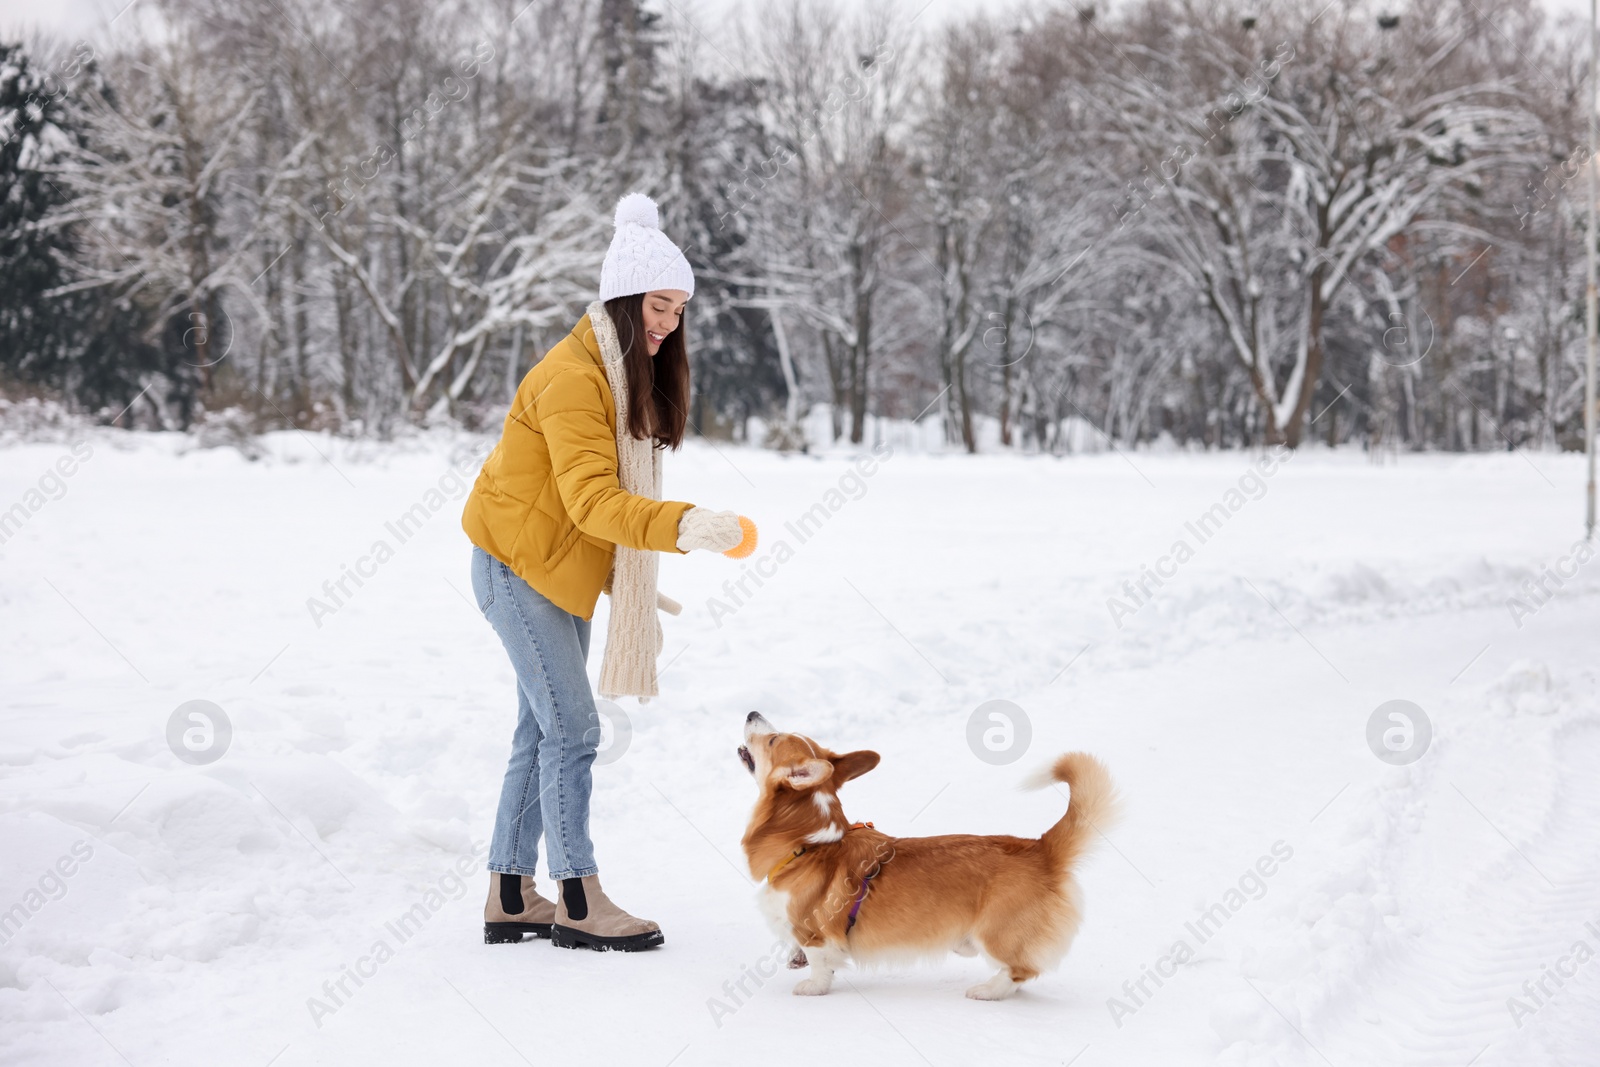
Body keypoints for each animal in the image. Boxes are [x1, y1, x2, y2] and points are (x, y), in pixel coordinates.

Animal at [732, 710, 1113, 1004]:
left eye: (772, 740)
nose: (751, 712)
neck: (809, 843)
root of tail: (1042, 848)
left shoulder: (816, 936)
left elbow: (821, 964)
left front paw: (812, 986)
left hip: (995, 935)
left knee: (1020, 971)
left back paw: (987, 991)